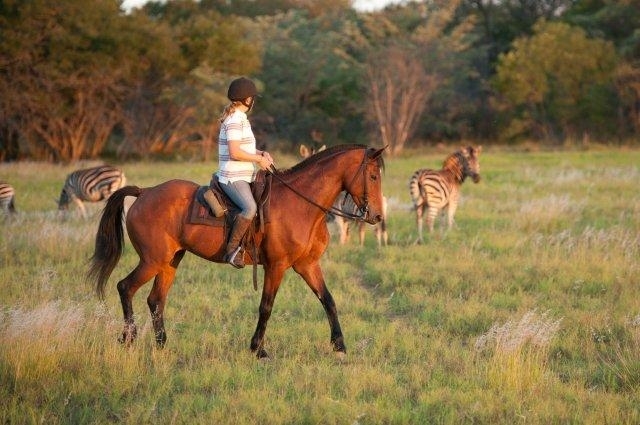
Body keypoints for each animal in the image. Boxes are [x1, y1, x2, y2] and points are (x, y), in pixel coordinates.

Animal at [87, 145, 382, 358]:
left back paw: (161, 344)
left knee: (155, 300)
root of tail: (144, 192)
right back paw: (129, 337)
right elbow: (266, 306)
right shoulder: (276, 267)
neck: (300, 204)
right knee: (125, 287)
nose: (377, 216)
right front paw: (258, 349)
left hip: (170, 262)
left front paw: (340, 346)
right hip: (152, 261)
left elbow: (328, 300)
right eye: (373, 176)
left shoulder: (307, 265)